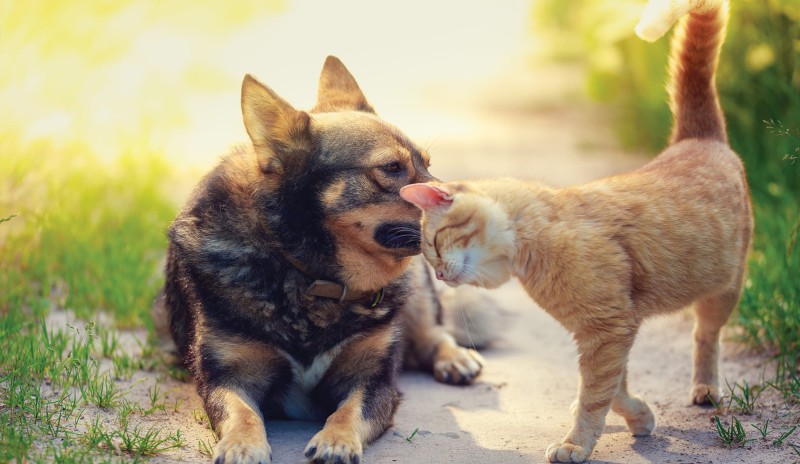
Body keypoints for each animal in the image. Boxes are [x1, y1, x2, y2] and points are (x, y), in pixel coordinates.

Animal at [153, 56, 484, 462]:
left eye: (428, 164)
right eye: (392, 167)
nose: (476, 203)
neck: (307, 273)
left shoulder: (373, 380)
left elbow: (349, 411)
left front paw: (336, 439)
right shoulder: (226, 376)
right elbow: (241, 411)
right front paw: (242, 444)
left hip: (417, 288)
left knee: (432, 331)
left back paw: (455, 357)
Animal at [400, 1, 752, 462]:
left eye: (436, 245)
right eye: (428, 258)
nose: (439, 275)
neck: (535, 239)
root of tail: (697, 138)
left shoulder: (607, 330)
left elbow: (597, 394)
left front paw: (577, 442)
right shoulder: (610, 331)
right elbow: (612, 388)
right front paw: (639, 416)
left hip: (723, 290)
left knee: (705, 336)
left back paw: (706, 388)